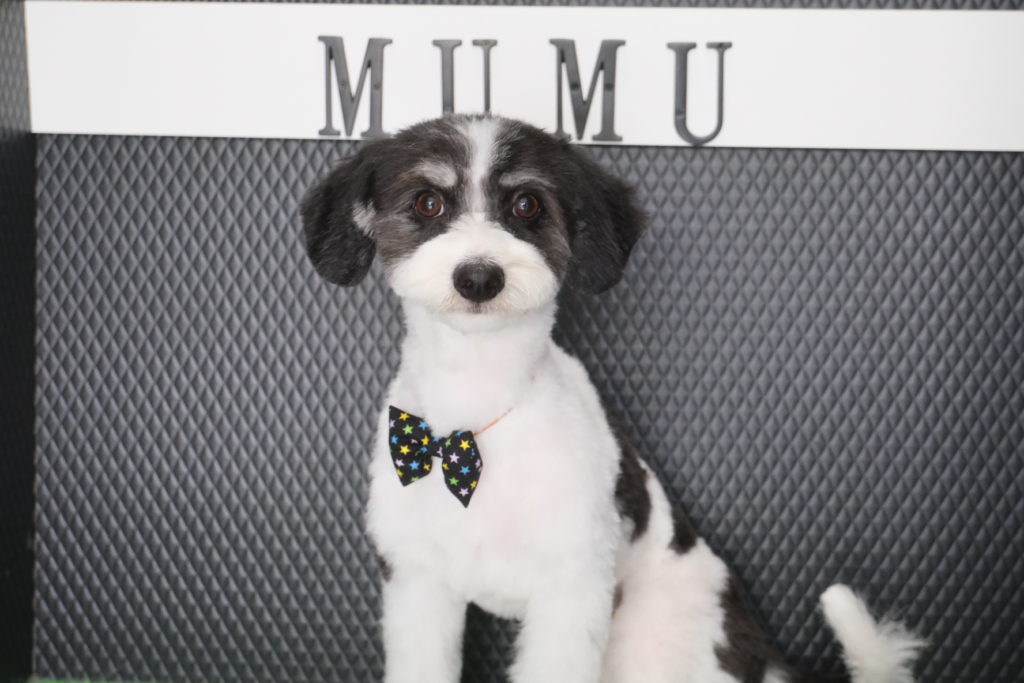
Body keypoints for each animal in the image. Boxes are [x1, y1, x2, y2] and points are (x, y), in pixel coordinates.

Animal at [301, 114, 923, 683]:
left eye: (527, 205)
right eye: (427, 202)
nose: (479, 277)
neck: (475, 419)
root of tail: (763, 662)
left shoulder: (571, 588)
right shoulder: (418, 582)